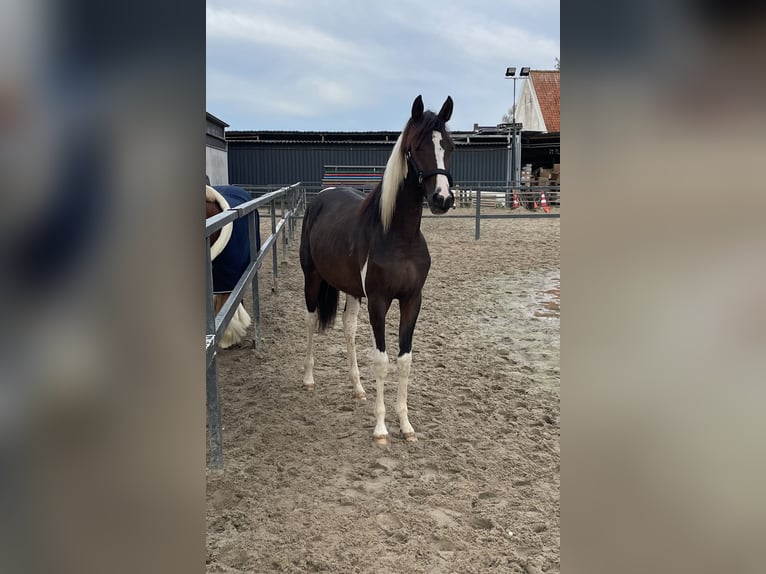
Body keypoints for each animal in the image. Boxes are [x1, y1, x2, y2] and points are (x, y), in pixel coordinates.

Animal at [300, 95, 456, 446]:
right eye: (415, 148)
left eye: (449, 146)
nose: (442, 198)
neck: (398, 236)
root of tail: (322, 197)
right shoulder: (379, 302)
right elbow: (382, 361)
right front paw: (381, 429)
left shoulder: (412, 300)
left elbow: (404, 361)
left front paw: (406, 425)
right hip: (312, 280)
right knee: (312, 321)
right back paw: (309, 379)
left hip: (351, 291)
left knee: (347, 329)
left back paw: (358, 388)